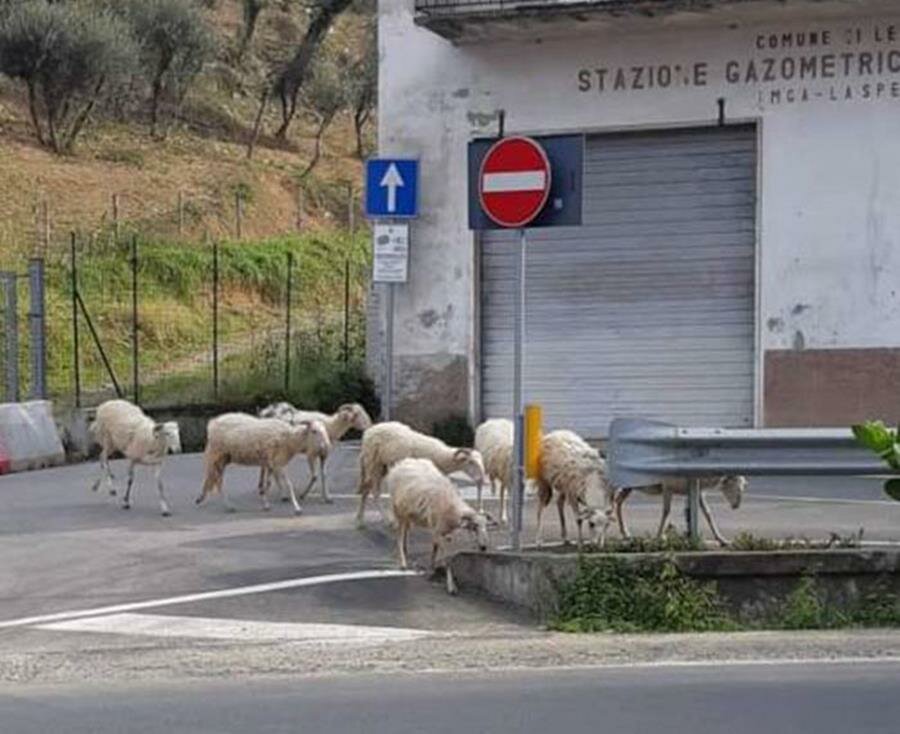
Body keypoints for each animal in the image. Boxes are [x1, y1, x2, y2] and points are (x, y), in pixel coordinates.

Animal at [196, 414, 330, 516]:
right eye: (314, 431)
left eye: (325, 430)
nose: (327, 446)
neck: (289, 439)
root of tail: (213, 423)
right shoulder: (278, 463)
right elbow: (288, 485)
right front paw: (297, 508)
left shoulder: (270, 462)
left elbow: (268, 483)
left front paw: (265, 503)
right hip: (216, 456)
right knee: (218, 481)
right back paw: (228, 506)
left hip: (224, 458)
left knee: (214, 479)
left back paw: (204, 499)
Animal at [356, 422, 486, 532]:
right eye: (470, 462)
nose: (482, 479)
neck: (441, 457)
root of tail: (369, 431)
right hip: (373, 464)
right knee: (373, 491)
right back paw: (384, 521)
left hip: (381, 466)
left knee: (366, 489)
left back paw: (360, 520)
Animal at [384, 460, 496, 600]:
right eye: (474, 526)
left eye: (486, 527)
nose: (483, 547)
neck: (452, 508)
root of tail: (402, 463)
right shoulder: (438, 530)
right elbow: (447, 560)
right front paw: (451, 587)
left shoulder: (441, 531)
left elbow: (435, 549)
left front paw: (432, 567)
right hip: (399, 511)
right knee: (399, 536)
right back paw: (403, 562)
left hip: (408, 514)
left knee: (405, 532)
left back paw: (405, 551)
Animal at [616, 478, 748, 548]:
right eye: (735, 484)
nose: (736, 506)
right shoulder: (667, 487)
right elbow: (666, 511)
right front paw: (659, 537)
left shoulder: (697, 492)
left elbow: (707, 513)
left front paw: (722, 540)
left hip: (628, 487)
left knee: (618, 502)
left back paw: (625, 533)